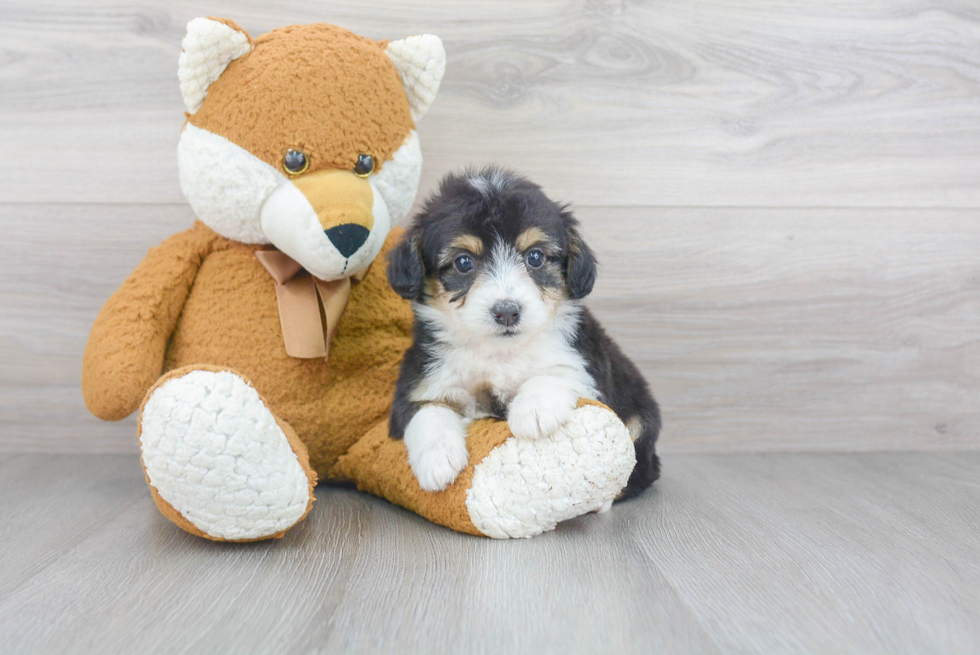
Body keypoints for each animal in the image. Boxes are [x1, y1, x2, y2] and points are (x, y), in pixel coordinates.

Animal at [386, 167, 664, 500]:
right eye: (464, 262)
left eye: (535, 257)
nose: (507, 311)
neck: (499, 353)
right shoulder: (419, 382)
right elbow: (428, 411)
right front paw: (437, 460)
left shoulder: (586, 366)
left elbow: (555, 372)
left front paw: (534, 410)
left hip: (639, 415)